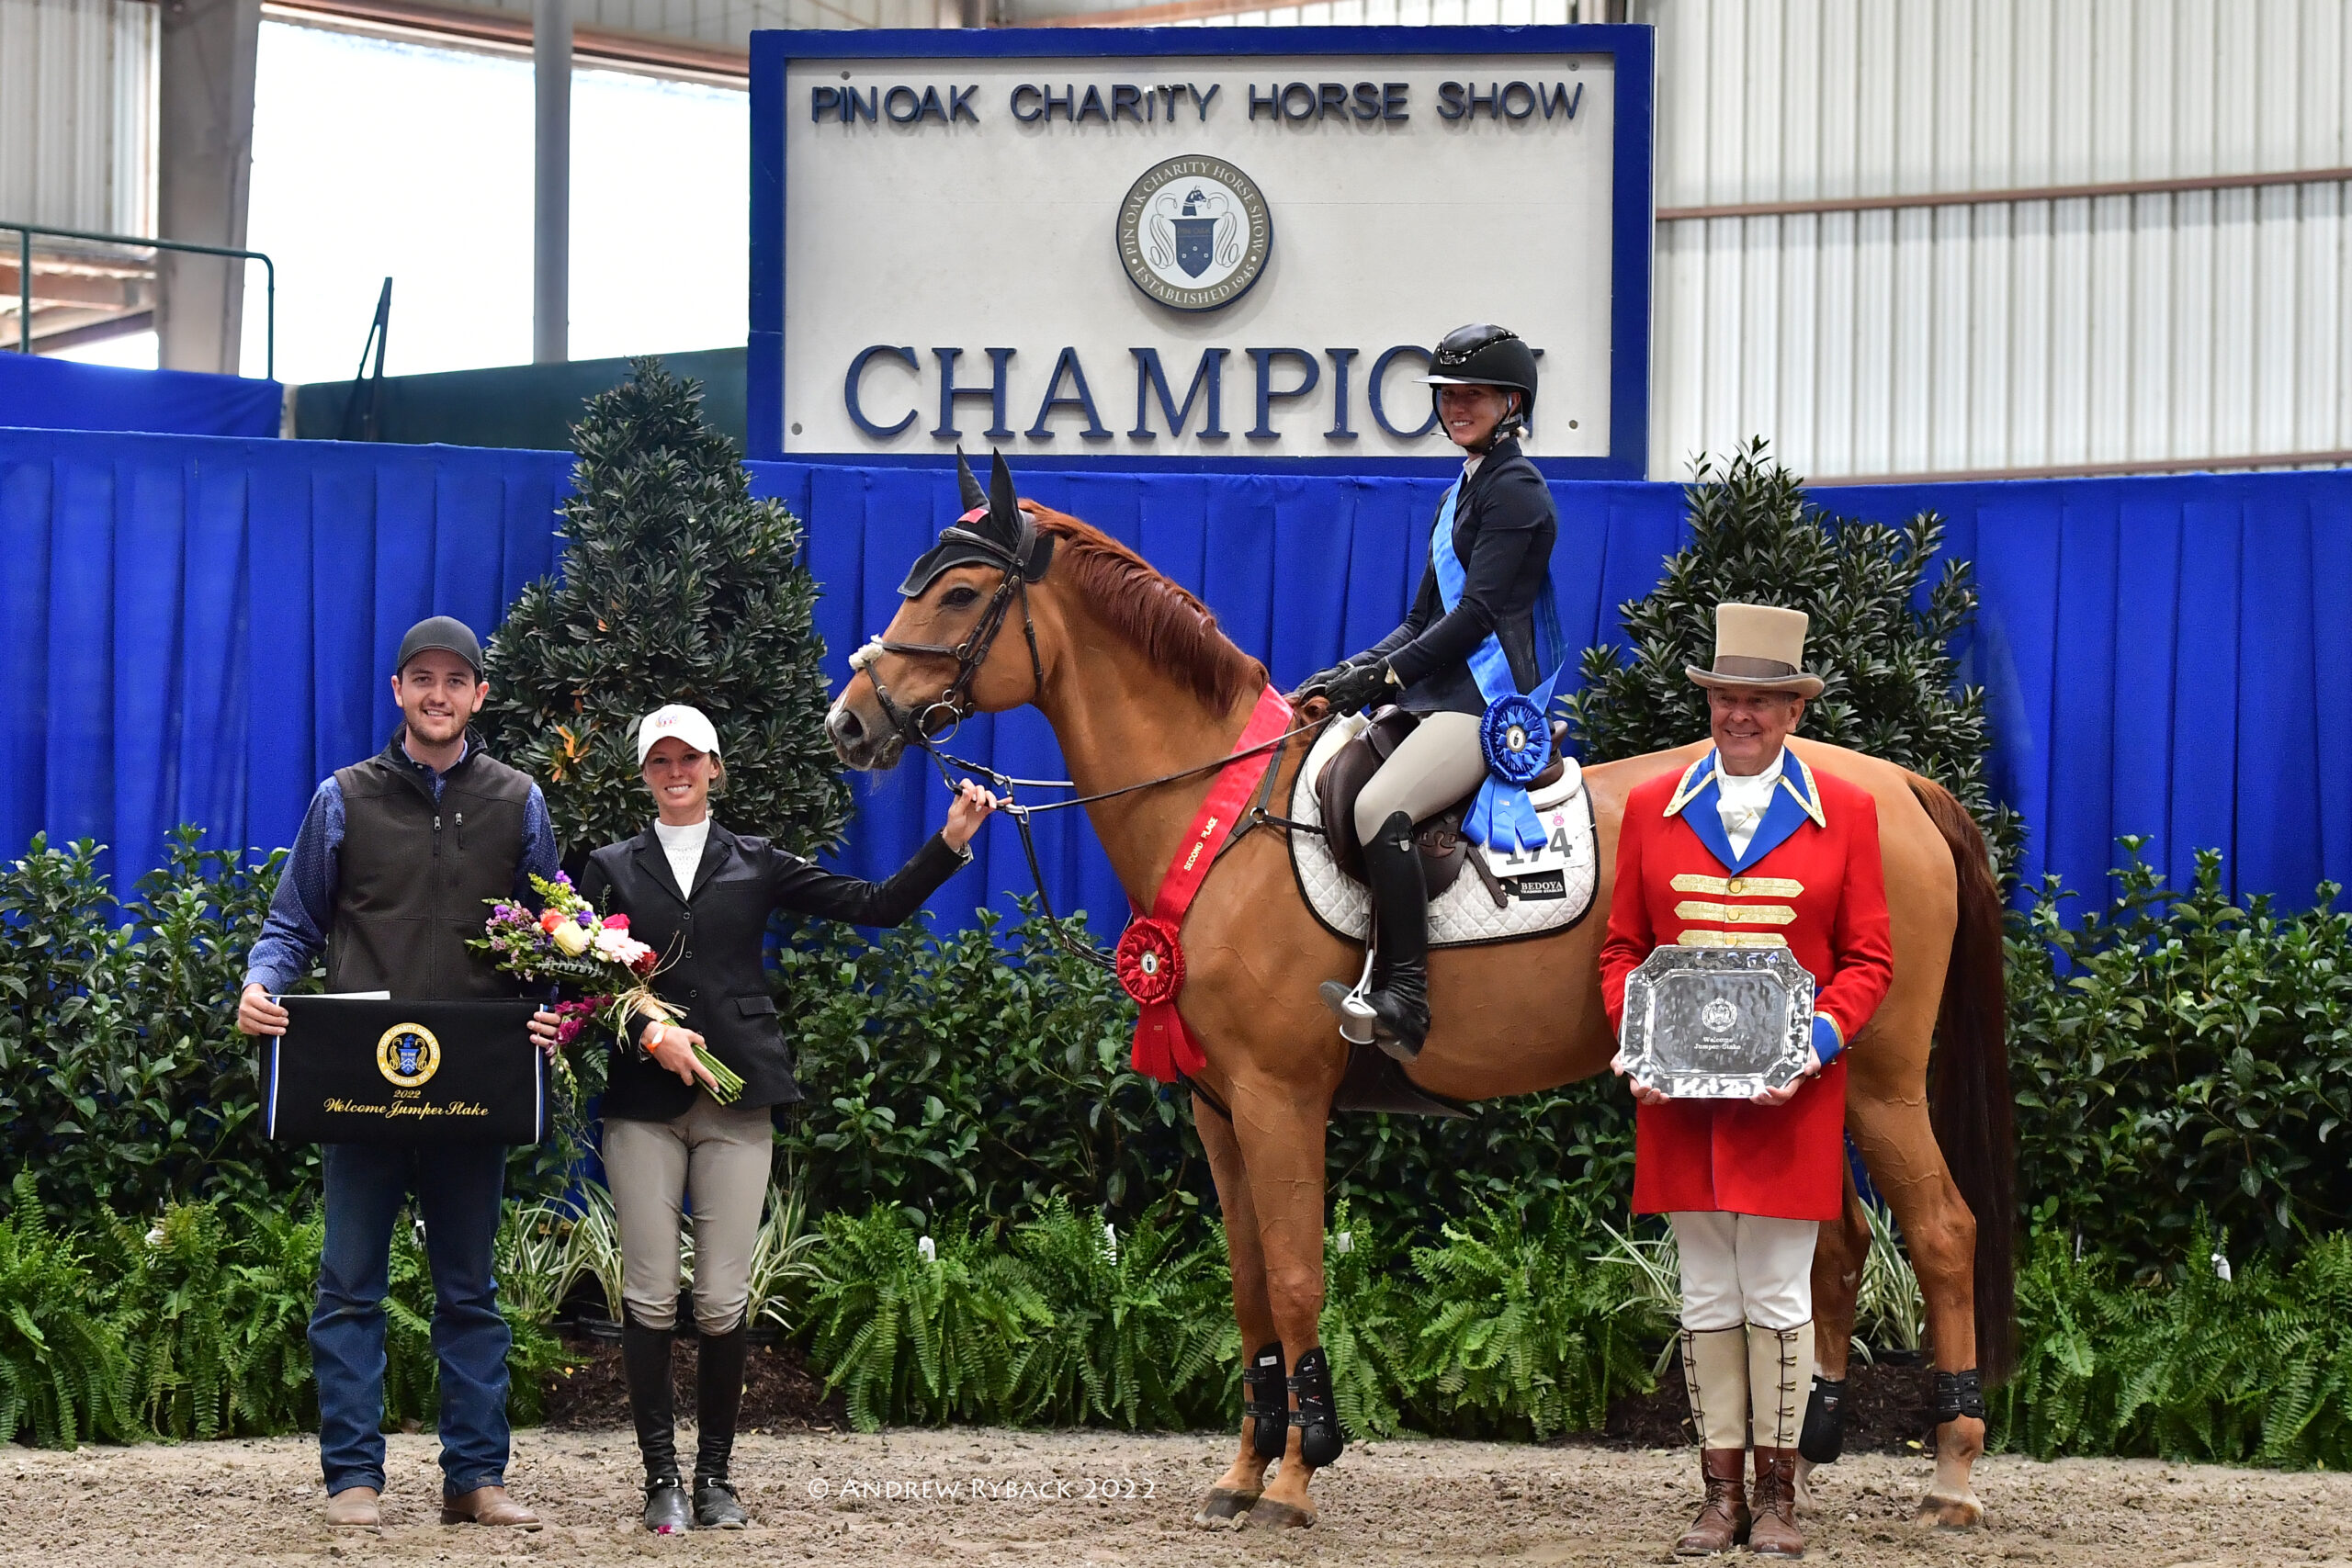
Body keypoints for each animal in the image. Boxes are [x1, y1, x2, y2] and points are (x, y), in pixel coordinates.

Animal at [823, 474, 2004, 1532]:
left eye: (959, 595)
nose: (849, 724)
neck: (1217, 811)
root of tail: (1902, 788)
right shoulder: (1218, 1109)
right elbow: (1246, 1287)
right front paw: (1241, 1474)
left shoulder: (1279, 1099)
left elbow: (1296, 1278)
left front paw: (1299, 1477)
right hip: (1808, 1081)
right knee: (1837, 1245)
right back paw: (1802, 1451)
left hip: (1879, 1077)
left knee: (1943, 1232)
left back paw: (1949, 1475)